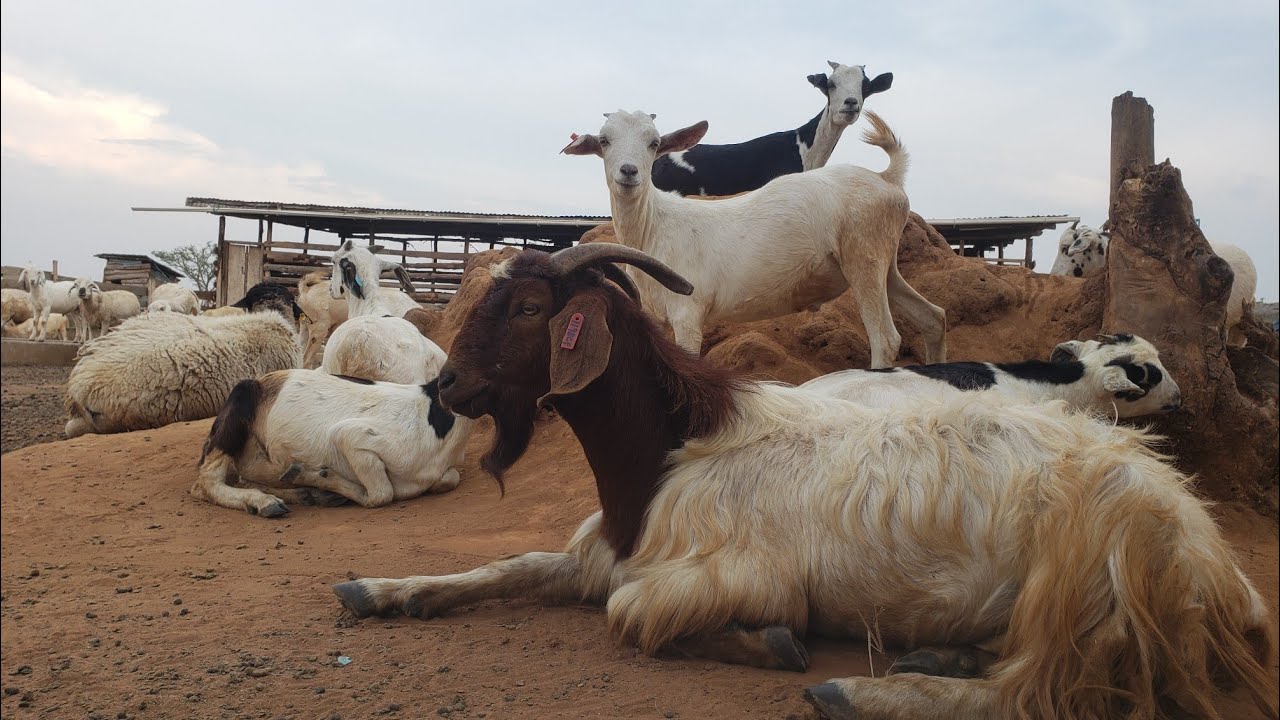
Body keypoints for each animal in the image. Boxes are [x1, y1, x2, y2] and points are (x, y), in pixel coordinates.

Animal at [333, 244, 1276, 720]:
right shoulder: (605, 551)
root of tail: (1217, 567)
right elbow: (509, 566)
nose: (448, 385)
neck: (675, 447)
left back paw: (862, 689)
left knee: (1041, 692)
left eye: (531, 310)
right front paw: (382, 589)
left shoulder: (736, 572)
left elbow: (631, 616)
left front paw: (774, 644)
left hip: (1087, 566)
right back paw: (939, 653)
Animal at [562, 110, 945, 368]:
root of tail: (887, 178)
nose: (629, 172)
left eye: (654, 143)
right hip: (884, 262)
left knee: (886, 339)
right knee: (934, 317)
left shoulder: (688, 313)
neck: (654, 226)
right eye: (604, 141)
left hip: (863, 254)